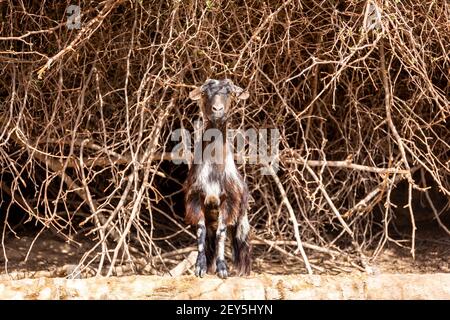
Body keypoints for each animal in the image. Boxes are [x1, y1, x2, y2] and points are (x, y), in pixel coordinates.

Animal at [185, 78, 251, 278]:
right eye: (205, 93)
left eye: (229, 92)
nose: (217, 109)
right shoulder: (195, 198)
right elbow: (201, 232)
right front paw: (200, 267)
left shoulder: (229, 200)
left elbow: (222, 233)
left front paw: (223, 268)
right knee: (209, 238)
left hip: (242, 215)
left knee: (240, 240)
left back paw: (243, 270)